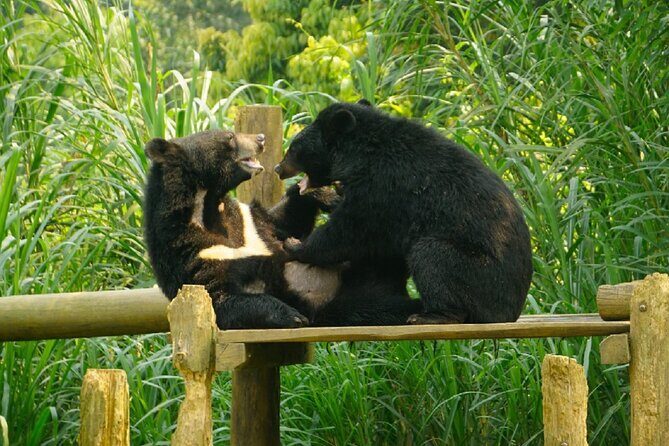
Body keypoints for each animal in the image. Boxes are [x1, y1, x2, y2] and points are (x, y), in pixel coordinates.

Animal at [143, 129, 420, 329]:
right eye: (230, 137)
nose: (260, 138)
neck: (209, 207)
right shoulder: (193, 254)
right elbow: (220, 300)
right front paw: (291, 315)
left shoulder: (248, 221)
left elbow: (283, 222)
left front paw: (327, 195)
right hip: (351, 302)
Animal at [275, 100, 533, 324]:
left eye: (294, 148)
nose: (278, 168)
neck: (360, 151)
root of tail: (511, 312)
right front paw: (324, 196)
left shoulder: (382, 186)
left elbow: (350, 230)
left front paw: (296, 244)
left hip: (478, 275)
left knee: (431, 256)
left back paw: (432, 315)